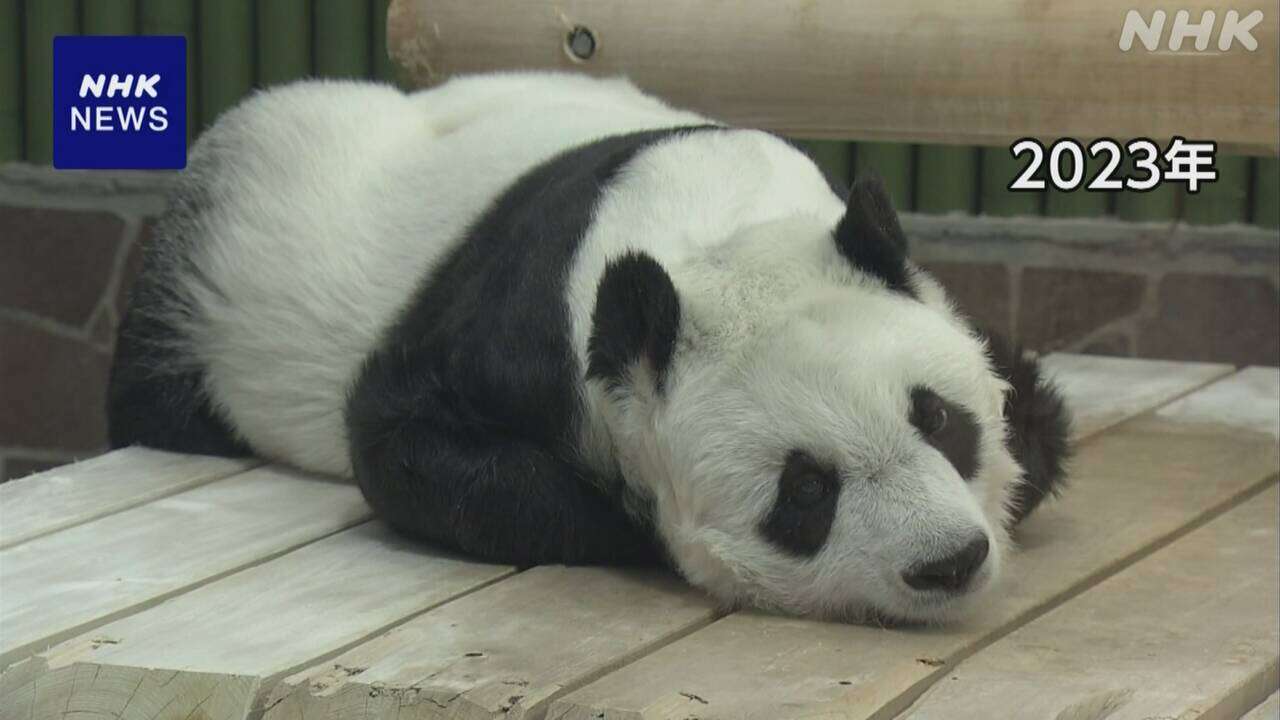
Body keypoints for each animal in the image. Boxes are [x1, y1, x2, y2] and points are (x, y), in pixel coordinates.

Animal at [107, 73, 1070, 622]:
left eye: (937, 419)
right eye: (805, 490)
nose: (948, 561)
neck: (711, 235)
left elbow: (1034, 405)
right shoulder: (515, 318)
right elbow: (400, 438)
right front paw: (630, 524)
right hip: (222, 263)